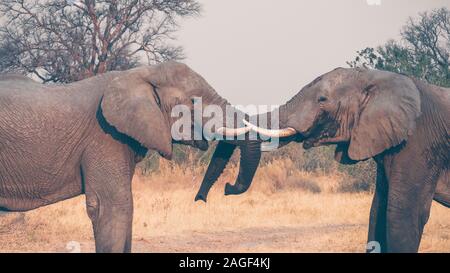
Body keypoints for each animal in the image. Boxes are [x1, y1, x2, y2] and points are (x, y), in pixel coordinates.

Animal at [0, 60, 260, 252]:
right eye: (193, 102)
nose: (226, 188)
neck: (141, 73)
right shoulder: (105, 137)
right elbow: (114, 206)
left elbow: (127, 207)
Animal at [201, 67, 450, 252]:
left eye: (322, 99)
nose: (226, 188)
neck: (379, 78)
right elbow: (377, 212)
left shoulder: (419, 143)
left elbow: (402, 216)